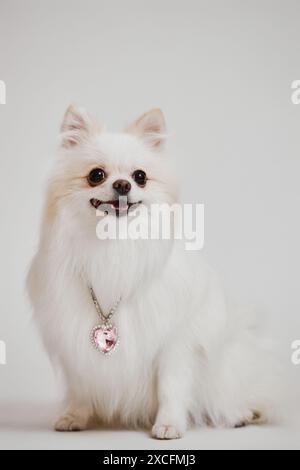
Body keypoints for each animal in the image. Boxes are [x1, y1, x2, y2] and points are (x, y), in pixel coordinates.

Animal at [27, 104, 280, 438]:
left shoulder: (175, 343)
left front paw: (169, 424)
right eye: (96, 175)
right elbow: (81, 384)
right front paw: (75, 416)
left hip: (232, 363)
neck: (114, 245)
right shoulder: (73, 337)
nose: (123, 184)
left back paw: (241, 413)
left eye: (140, 177)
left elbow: (171, 388)